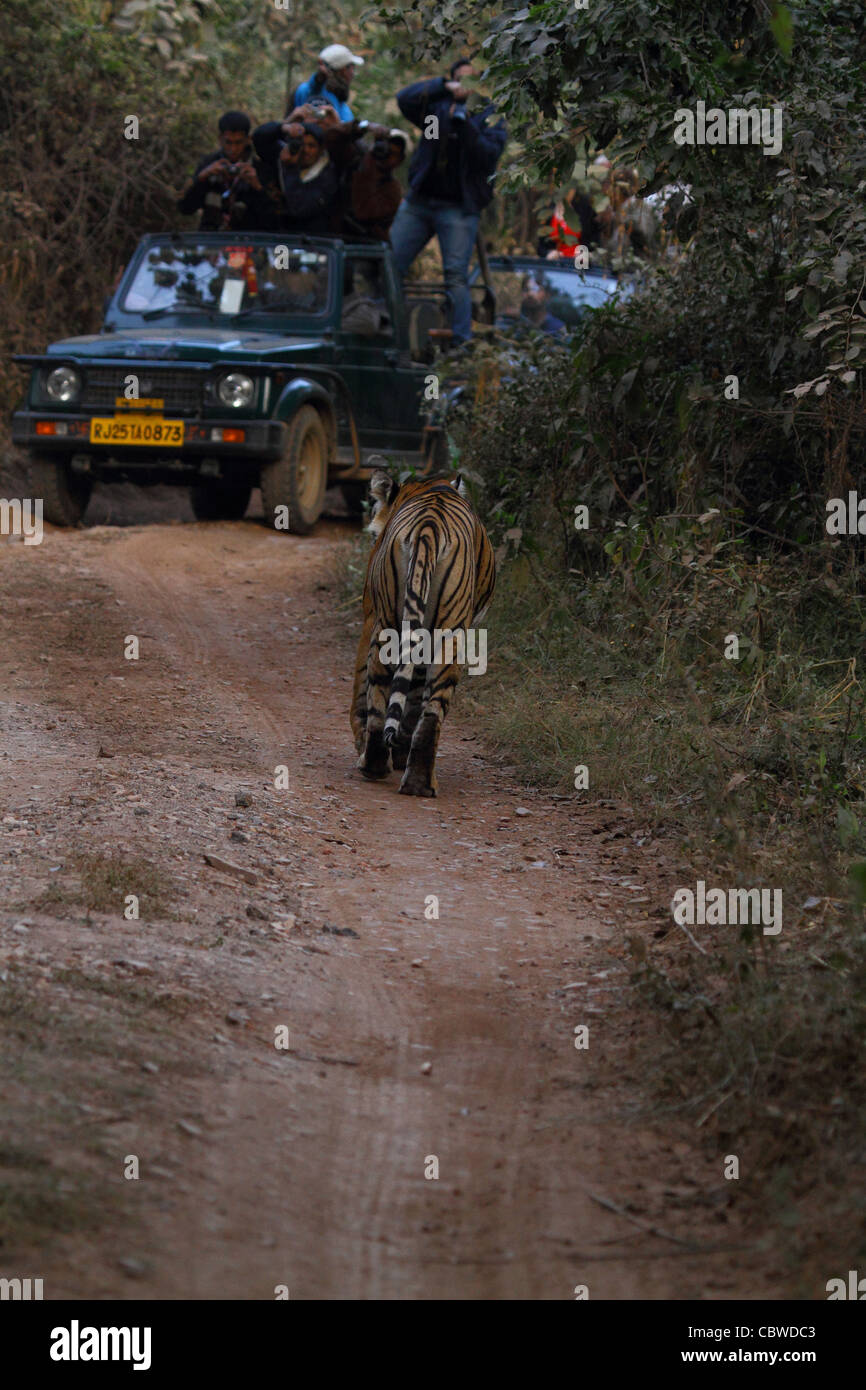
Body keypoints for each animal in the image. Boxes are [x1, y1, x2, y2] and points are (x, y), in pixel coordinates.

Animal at [347, 469, 494, 800]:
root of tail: (431, 522)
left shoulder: (372, 616)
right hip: (449, 632)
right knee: (431, 709)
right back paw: (418, 782)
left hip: (394, 624)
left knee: (382, 695)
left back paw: (376, 765)